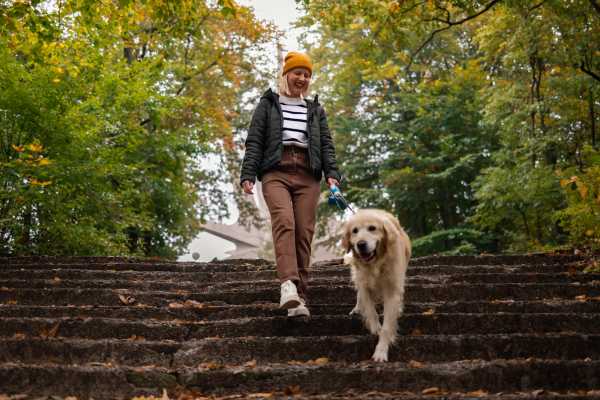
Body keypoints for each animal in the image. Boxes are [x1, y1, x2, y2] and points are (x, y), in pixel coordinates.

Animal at [342, 209, 412, 362]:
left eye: (372, 228)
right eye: (354, 231)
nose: (361, 244)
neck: (376, 264)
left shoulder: (392, 288)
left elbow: (387, 326)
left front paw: (381, 351)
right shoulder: (364, 285)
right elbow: (370, 311)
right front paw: (375, 330)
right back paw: (357, 308)